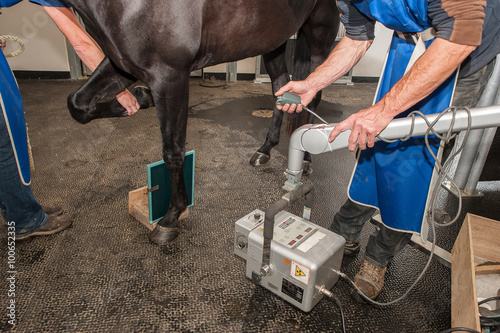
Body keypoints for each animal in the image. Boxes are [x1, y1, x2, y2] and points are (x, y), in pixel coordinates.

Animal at [63, 0, 336, 244]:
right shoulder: (124, 63)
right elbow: (77, 104)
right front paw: (141, 98)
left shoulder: (170, 76)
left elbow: (173, 152)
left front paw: (171, 217)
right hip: (274, 39)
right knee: (281, 87)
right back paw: (265, 148)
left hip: (319, 33)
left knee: (314, 93)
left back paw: (308, 156)